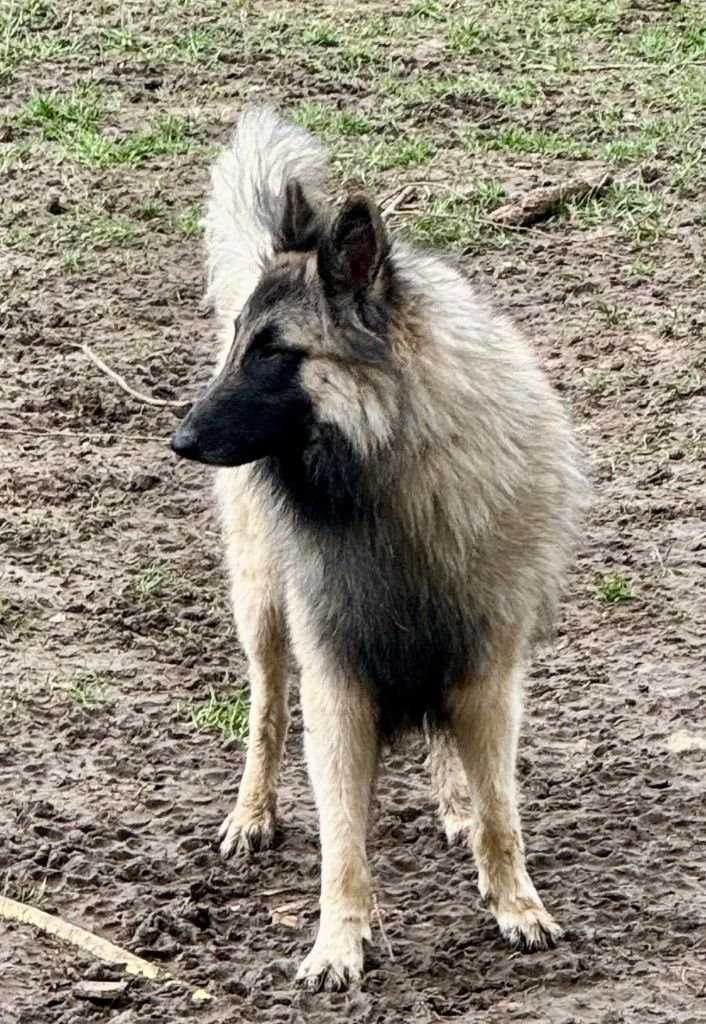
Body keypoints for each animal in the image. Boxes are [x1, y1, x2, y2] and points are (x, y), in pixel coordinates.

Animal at [169, 105, 582, 991]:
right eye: (236, 342)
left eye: (274, 351)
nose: (179, 440)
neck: (390, 480)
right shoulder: (337, 680)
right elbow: (342, 842)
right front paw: (338, 944)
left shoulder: (487, 668)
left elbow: (500, 809)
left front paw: (516, 904)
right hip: (263, 610)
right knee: (265, 712)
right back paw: (252, 813)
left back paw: (453, 803)